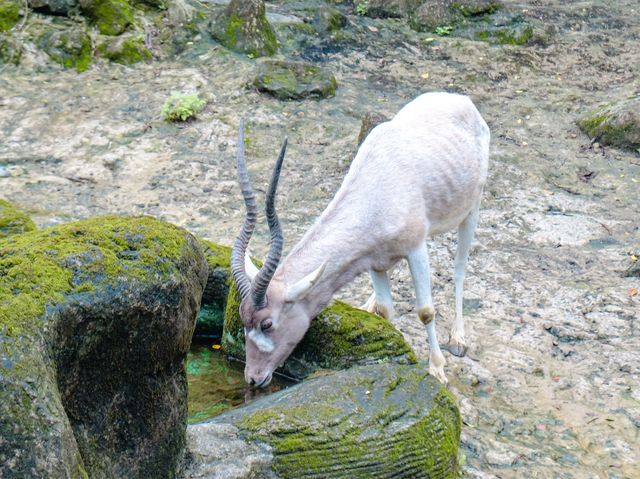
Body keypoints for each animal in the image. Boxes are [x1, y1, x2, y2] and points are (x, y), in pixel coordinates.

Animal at [232, 92, 488, 388]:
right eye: (243, 319)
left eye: (267, 324)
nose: (253, 378)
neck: (375, 191)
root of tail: (458, 99)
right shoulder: (373, 260)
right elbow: (387, 311)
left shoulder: (415, 248)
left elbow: (425, 311)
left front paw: (437, 368)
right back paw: (369, 305)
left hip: (472, 209)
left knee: (459, 268)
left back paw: (458, 338)